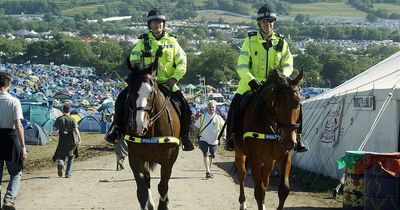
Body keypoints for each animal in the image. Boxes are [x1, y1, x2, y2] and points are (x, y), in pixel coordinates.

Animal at [122, 53, 182, 209]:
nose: (139, 126)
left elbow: (163, 186)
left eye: (151, 92)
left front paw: (164, 204)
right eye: (129, 90)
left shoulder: (169, 160)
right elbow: (142, 190)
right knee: (147, 180)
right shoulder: (135, 158)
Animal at [234, 69, 304, 210]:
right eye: (276, 104)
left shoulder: (285, 156)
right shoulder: (255, 158)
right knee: (242, 175)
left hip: (269, 160)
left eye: (298, 103)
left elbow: (283, 190)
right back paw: (242, 202)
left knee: (265, 180)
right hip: (240, 152)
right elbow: (259, 191)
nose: (288, 141)